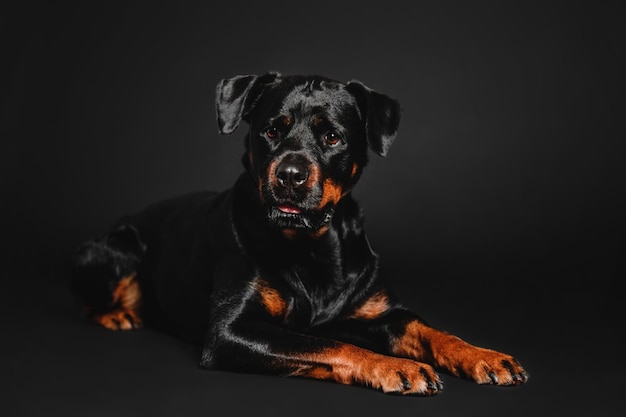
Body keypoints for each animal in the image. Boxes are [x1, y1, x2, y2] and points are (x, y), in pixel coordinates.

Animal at [69, 71, 528, 394]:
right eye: (272, 129)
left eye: (332, 137)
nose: (290, 174)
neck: (313, 246)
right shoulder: (230, 332)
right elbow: (329, 344)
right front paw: (397, 366)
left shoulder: (382, 312)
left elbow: (430, 330)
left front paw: (483, 356)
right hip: (116, 247)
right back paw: (118, 314)